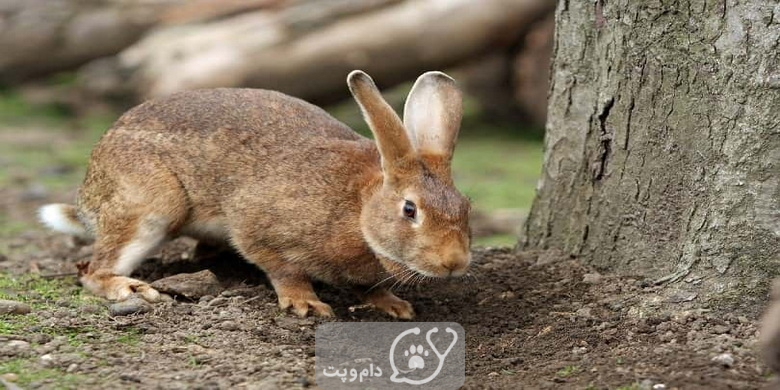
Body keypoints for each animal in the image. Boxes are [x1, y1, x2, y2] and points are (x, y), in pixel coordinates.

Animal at [39, 71, 470, 316]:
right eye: (410, 209)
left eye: (466, 207)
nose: (454, 263)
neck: (359, 208)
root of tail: (89, 194)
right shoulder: (258, 228)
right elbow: (284, 269)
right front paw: (306, 304)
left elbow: (370, 287)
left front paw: (395, 307)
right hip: (150, 206)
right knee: (94, 271)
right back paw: (129, 288)